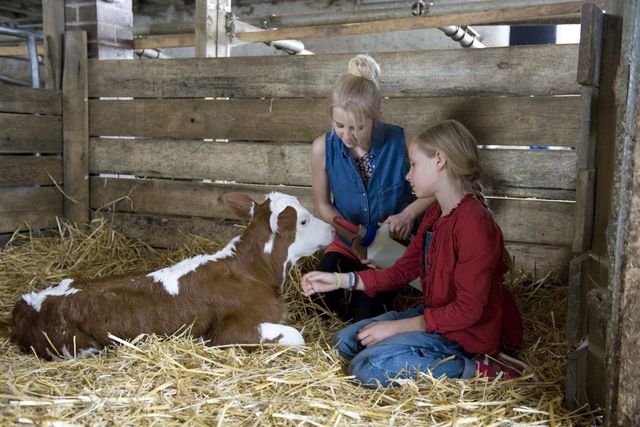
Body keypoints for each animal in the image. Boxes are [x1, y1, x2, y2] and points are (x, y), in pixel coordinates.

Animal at [12, 192, 334, 360]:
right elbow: (296, 336)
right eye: (304, 221)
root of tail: (26, 303)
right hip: (80, 347)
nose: (332, 228)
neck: (253, 270)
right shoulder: (226, 333)